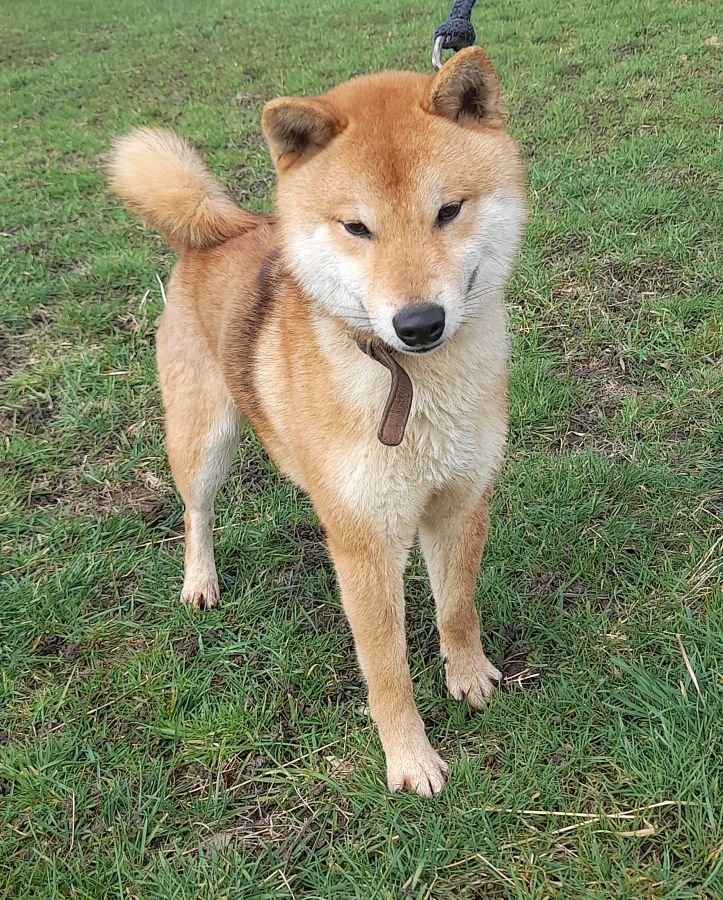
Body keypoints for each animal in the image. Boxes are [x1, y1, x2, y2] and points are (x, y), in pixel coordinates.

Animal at [109, 46, 526, 797]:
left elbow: (456, 608)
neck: (412, 389)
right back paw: (199, 580)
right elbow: (386, 668)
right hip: (204, 442)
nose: (419, 323)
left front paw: (468, 675)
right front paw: (409, 759)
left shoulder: (459, 501)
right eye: (356, 227)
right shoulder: (364, 545)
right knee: (196, 513)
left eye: (448, 211)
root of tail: (218, 232)